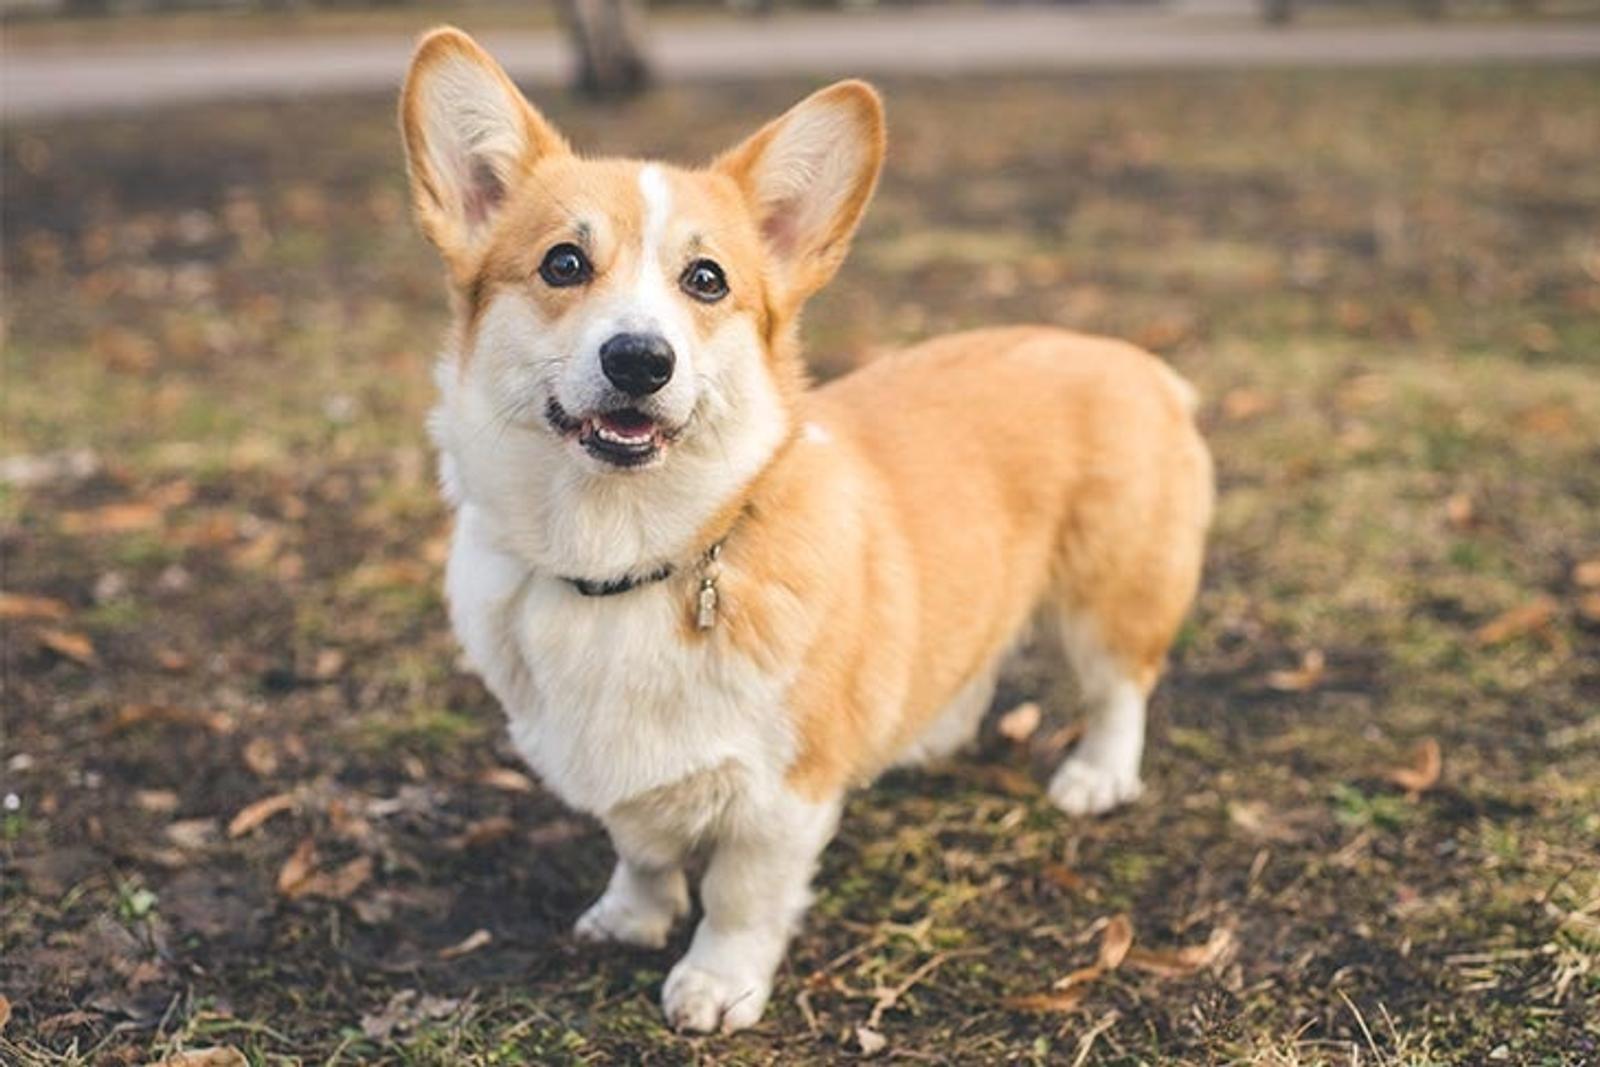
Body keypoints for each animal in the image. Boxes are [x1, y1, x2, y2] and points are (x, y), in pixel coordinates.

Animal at [400, 27, 1209, 1036]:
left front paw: (716, 983)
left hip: (1108, 594)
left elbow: (740, 896)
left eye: (706, 280)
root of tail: (1136, 359)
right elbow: (641, 846)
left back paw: (1097, 775)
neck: (626, 557)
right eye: (562, 264)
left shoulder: (780, 797)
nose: (640, 359)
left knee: (1119, 687)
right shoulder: (618, 774)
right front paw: (631, 915)